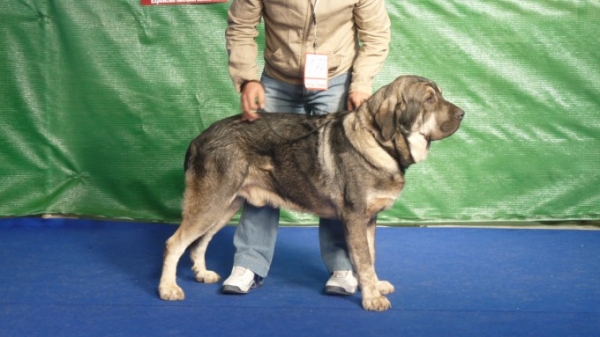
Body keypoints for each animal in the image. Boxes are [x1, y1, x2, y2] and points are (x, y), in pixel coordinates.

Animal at [158, 75, 464, 310]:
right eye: (429, 100)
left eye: (439, 95)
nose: (462, 113)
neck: (380, 142)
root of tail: (199, 138)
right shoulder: (355, 218)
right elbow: (364, 261)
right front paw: (372, 298)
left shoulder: (369, 219)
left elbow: (372, 256)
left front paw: (376, 286)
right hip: (212, 202)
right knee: (175, 243)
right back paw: (168, 288)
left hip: (226, 205)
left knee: (199, 242)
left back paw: (202, 273)